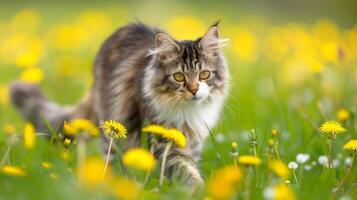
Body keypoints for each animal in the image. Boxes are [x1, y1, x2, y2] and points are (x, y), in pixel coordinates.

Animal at [11, 21, 229, 186]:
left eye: (204, 74)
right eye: (179, 77)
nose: (193, 90)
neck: (188, 112)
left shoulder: (192, 141)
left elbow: (188, 165)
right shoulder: (162, 139)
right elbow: (184, 170)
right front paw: (195, 190)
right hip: (113, 129)